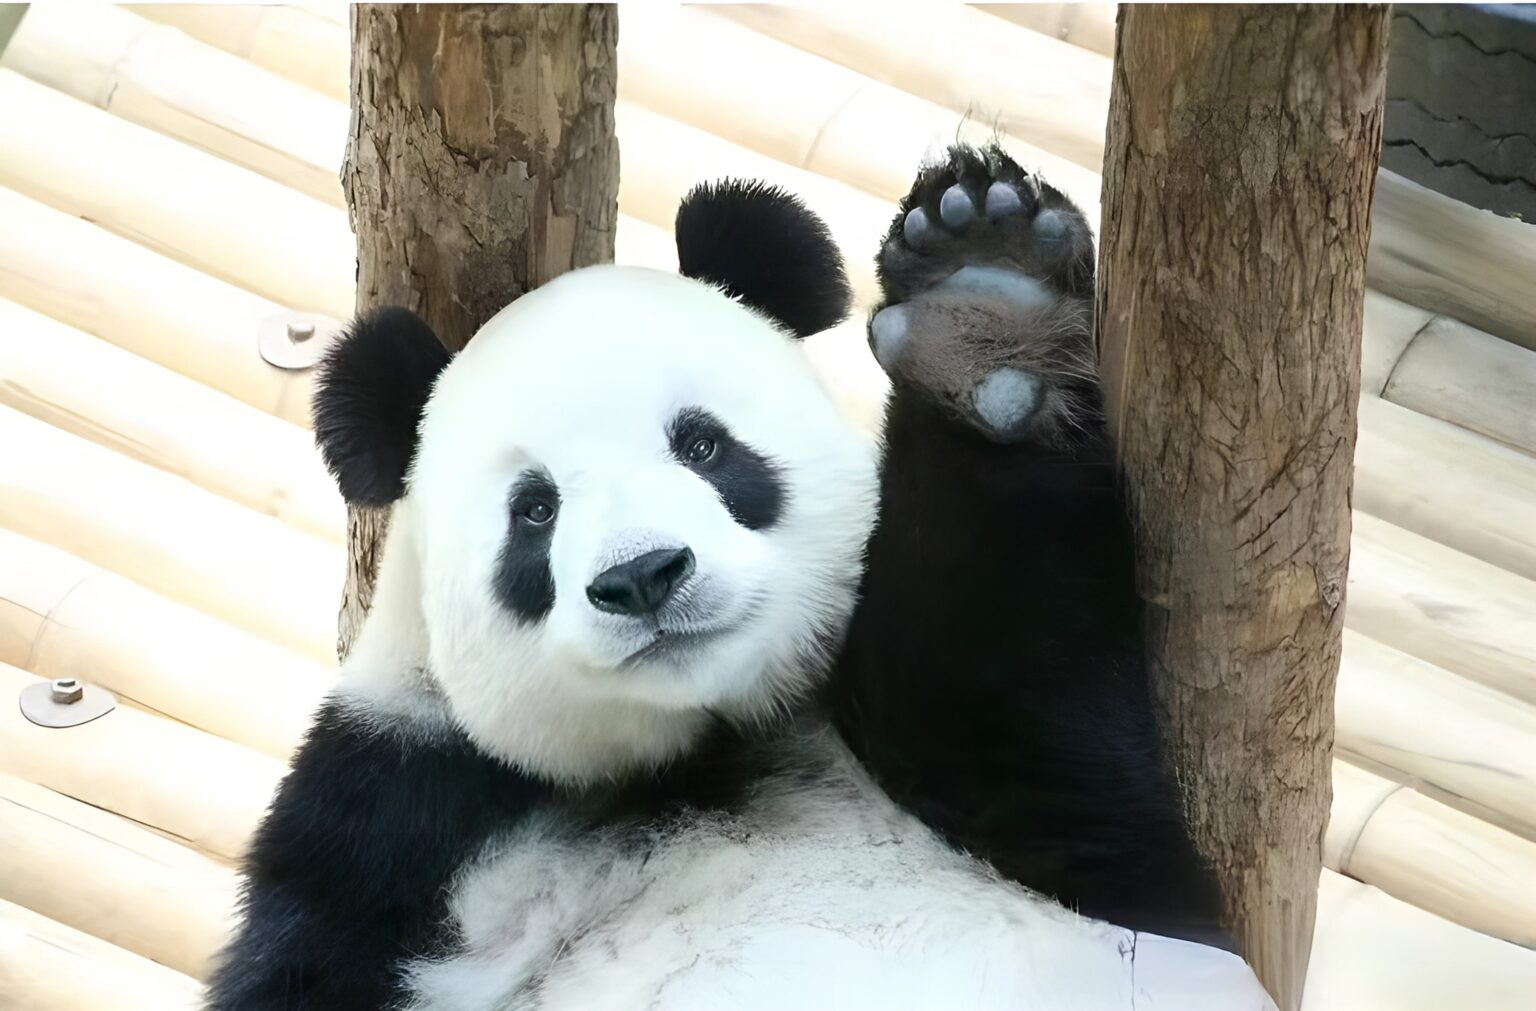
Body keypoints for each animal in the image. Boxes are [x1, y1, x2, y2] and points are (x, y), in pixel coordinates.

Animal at [206, 147, 1273, 1010]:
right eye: (534, 510)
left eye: (704, 445)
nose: (643, 577)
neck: (702, 747)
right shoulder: (395, 816)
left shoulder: (1067, 844)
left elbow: (1038, 728)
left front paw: (983, 310)